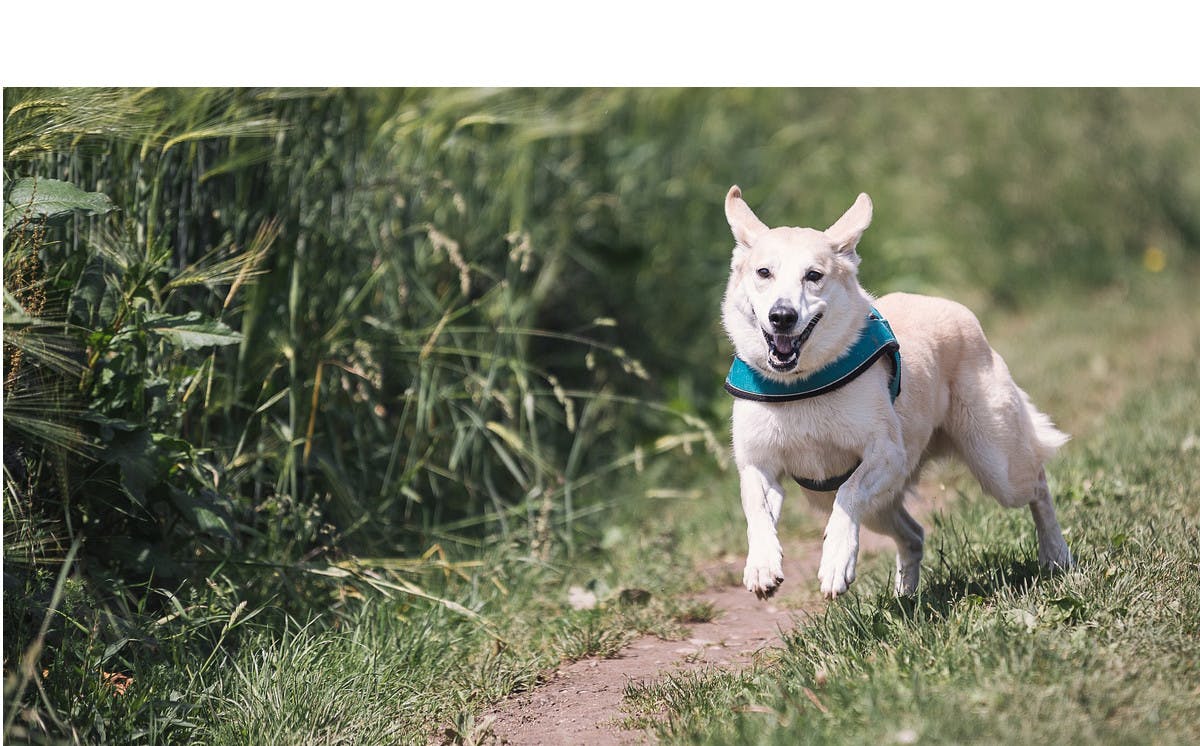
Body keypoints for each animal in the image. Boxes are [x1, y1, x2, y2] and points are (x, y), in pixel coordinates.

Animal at [715, 187, 1075, 602]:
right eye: (763, 273)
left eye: (814, 276)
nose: (782, 316)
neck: (801, 385)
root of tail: (954, 308)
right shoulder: (758, 464)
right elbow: (756, 511)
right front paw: (762, 566)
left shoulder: (886, 453)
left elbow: (849, 493)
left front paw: (836, 562)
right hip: (877, 506)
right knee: (914, 534)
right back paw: (906, 597)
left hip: (998, 465)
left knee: (1038, 484)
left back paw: (1056, 555)